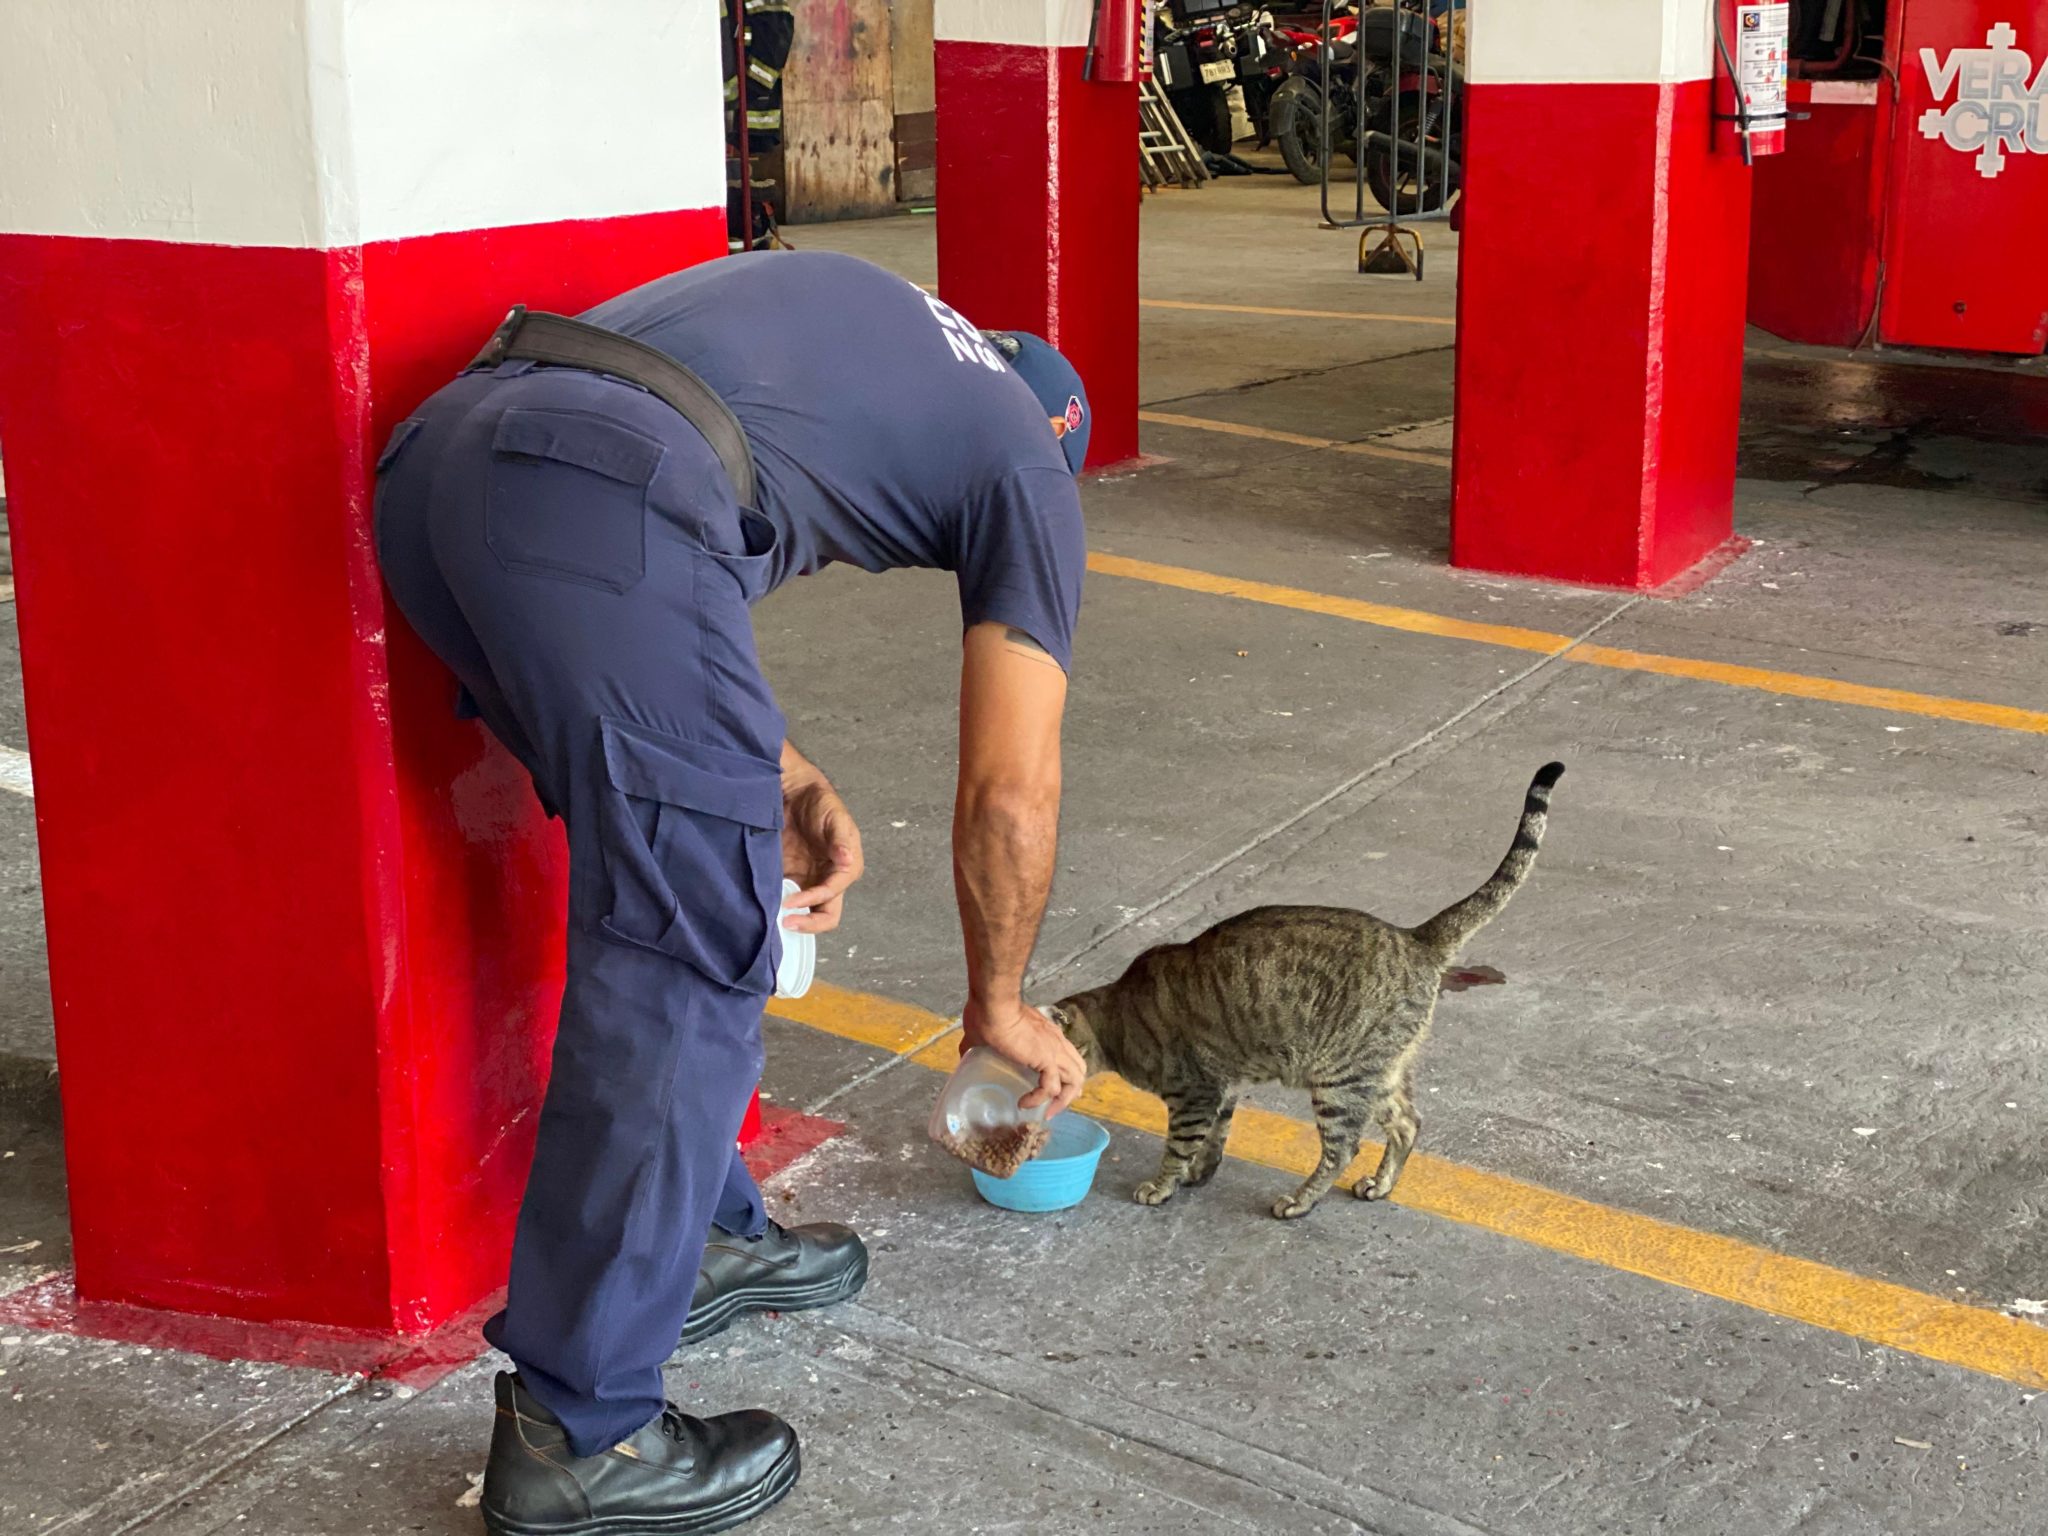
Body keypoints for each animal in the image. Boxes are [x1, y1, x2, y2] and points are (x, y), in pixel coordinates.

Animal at [1046, 762, 1564, 1220]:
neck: (1118, 1015)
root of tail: (1414, 937)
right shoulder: (1224, 1087)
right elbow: (1216, 1139)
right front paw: (1200, 1174)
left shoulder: (1195, 1094)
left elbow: (1179, 1146)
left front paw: (1163, 1184)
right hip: (1380, 1073)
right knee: (1408, 1122)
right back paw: (1381, 1184)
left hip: (1341, 1079)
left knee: (1344, 1148)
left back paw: (1300, 1201)